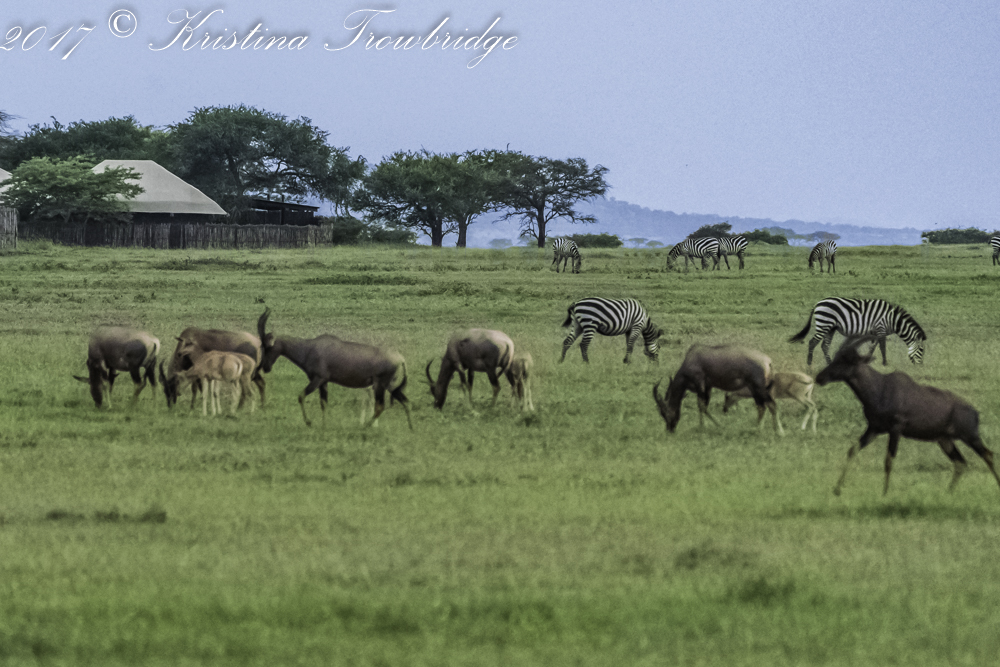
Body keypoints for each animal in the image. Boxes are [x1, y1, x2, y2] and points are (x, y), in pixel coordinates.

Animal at [257, 309, 412, 429]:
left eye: (266, 346)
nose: (265, 367)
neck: (310, 348)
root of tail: (401, 359)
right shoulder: (324, 382)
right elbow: (324, 403)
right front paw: (324, 425)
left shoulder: (317, 379)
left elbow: (301, 396)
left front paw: (309, 422)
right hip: (391, 386)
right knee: (405, 401)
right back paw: (411, 429)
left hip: (380, 385)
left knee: (380, 406)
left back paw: (365, 427)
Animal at [653, 344, 784, 436]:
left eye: (665, 412)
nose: (670, 430)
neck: (693, 356)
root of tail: (768, 361)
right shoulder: (708, 387)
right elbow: (702, 406)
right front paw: (705, 426)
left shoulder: (700, 385)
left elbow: (702, 406)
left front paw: (713, 425)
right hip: (755, 389)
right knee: (761, 406)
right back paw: (758, 429)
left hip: (759, 388)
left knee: (771, 405)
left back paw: (779, 432)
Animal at [789, 297, 926, 366]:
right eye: (921, 350)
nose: (920, 366)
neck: (892, 320)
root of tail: (817, 303)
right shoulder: (880, 329)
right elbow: (882, 347)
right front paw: (885, 363)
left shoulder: (875, 332)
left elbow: (872, 347)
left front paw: (867, 360)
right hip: (824, 324)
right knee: (812, 342)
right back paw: (809, 363)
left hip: (830, 328)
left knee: (824, 345)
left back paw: (829, 363)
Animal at [815, 337, 1000, 496]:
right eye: (836, 357)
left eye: (847, 360)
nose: (819, 378)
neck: (881, 386)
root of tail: (974, 412)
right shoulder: (874, 428)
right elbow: (852, 449)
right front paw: (837, 489)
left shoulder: (896, 428)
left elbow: (888, 460)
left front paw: (885, 493)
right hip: (945, 440)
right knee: (960, 463)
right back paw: (948, 493)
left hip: (969, 436)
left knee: (988, 455)